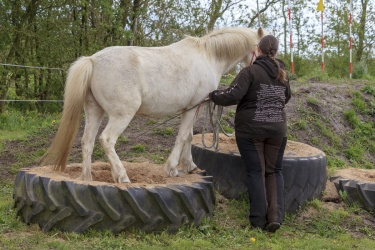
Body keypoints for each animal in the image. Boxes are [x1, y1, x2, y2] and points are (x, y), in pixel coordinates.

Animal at [42, 27, 266, 183]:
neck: (209, 56)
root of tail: (93, 60)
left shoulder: (191, 109)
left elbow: (189, 136)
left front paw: (190, 166)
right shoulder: (192, 107)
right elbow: (182, 136)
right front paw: (172, 168)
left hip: (94, 112)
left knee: (87, 142)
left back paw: (87, 178)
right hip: (122, 115)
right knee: (106, 140)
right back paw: (122, 176)